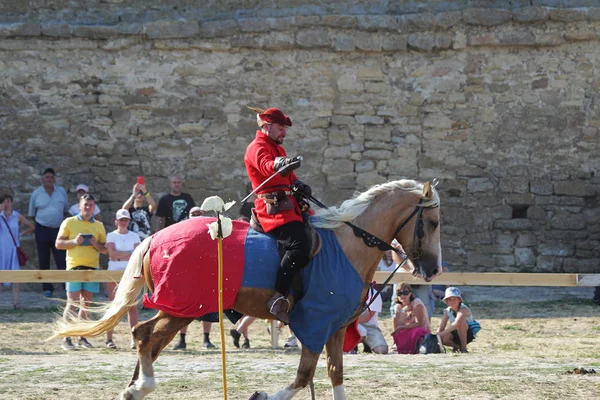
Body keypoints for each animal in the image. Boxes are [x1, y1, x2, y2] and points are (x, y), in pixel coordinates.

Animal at [52, 180, 440, 398]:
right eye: (433, 222)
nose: (433, 269)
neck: (348, 244)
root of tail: (152, 238)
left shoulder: (335, 328)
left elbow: (334, 376)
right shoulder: (316, 324)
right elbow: (303, 377)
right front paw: (262, 395)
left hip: (180, 309)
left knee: (148, 339)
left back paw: (134, 388)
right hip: (184, 308)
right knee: (144, 335)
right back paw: (142, 386)